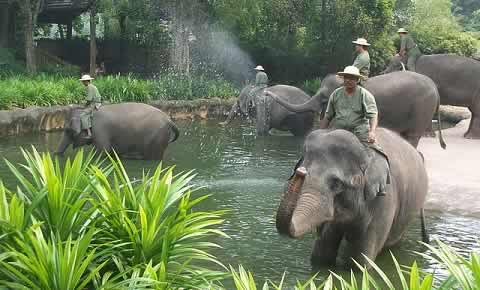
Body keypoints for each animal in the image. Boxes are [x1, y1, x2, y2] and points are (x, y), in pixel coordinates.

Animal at [276, 128, 430, 268]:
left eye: (336, 183)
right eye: (296, 171)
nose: (301, 172)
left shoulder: (384, 199)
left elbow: (359, 263)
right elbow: (321, 254)